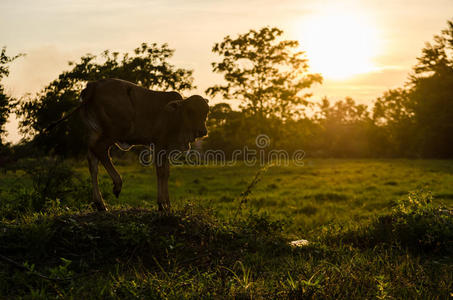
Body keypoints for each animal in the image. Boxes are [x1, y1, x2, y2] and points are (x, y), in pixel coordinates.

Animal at [46, 78, 209, 212]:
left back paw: (100, 204)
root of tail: (94, 85)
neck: (175, 117)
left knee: (92, 161)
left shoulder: (166, 149)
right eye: (190, 111)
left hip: (95, 131)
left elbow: (166, 173)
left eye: (206, 113)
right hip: (116, 131)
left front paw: (167, 204)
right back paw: (117, 184)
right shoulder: (158, 145)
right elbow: (161, 172)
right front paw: (162, 204)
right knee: (101, 150)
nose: (203, 131)